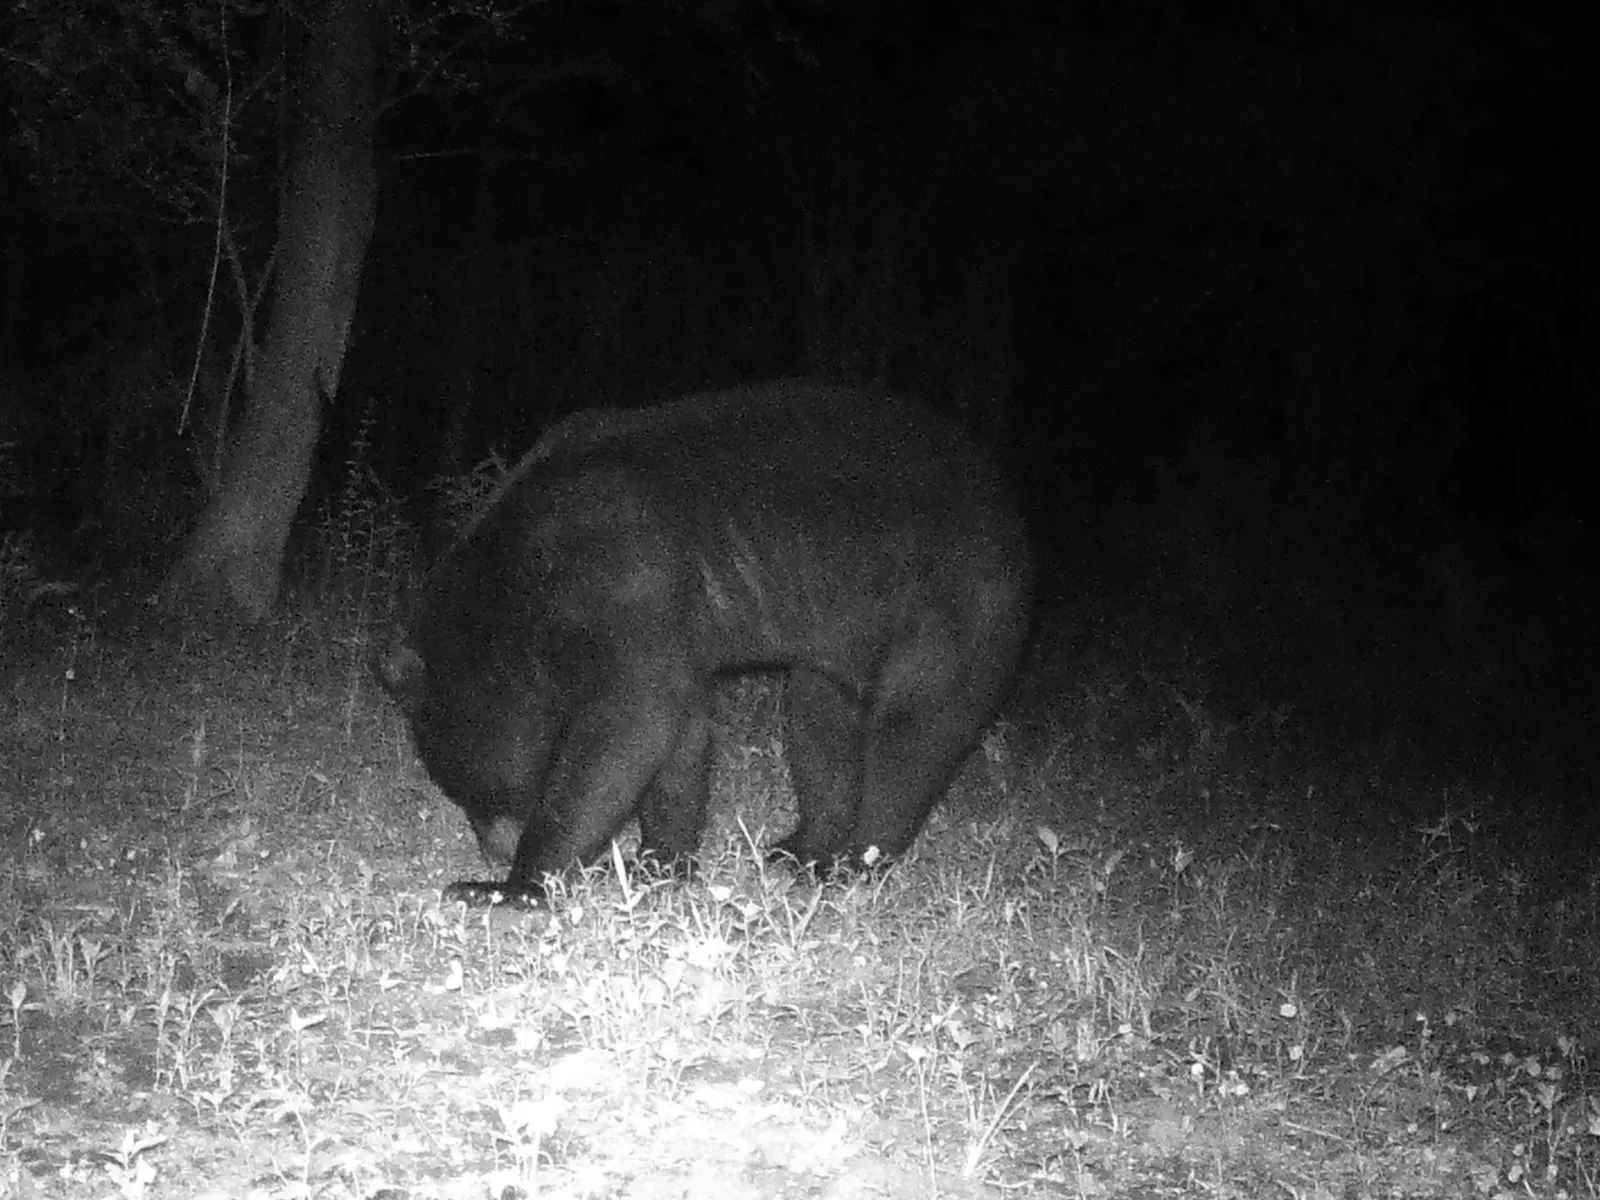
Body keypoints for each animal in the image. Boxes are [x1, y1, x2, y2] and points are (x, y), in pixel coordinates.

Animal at [380, 379, 1033, 905]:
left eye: (471, 792)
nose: (492, 847)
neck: (518, 577)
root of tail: (1012, 514)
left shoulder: (624, 573)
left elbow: (631, 723)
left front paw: (511, 886)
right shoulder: (666, 618)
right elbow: (678, 735)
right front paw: (659, 864)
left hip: (954, 603)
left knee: (912, 736)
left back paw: (854, 864)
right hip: (845, 639)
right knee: (819, 721)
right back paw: (803, 848)